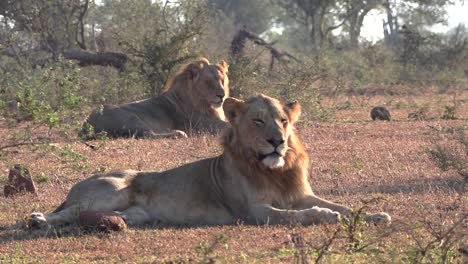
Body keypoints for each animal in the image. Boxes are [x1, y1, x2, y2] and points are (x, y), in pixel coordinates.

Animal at [27, 94, 390, 228]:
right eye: (258, 121)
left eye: (283, 121)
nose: (277, 141)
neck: (274, 171)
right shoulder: (253, 211)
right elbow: (297, 215)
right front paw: (324, 215)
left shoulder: (299, 194)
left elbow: (343, 206)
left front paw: (376, 215)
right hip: (115, 188)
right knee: (68, 212)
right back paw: (38, 219)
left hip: (133, 212)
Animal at [80, 57, 230, 139]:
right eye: (208, 82)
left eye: (222, 81)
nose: (221, 95)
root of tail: (86, 124)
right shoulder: (206, 125)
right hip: (132, 118)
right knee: (147, 135)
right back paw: (178, 133)